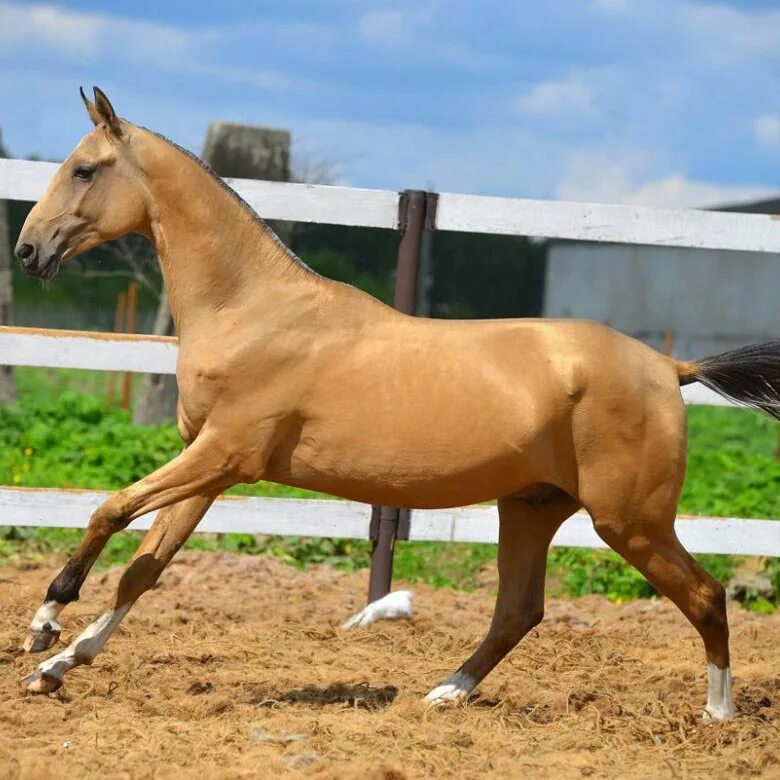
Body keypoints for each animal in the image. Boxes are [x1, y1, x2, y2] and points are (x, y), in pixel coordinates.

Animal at [13, 87, 780, 720]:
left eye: (85, 170)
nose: (26, 251)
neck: (252, 310)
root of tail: (669, 367)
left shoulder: (226, 453)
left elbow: (109, 508)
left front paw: (46, 621)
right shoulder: (211, 466)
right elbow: (145, 568)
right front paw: (57, 667)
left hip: (631, 521)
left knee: (705, 597)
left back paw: (718, 716)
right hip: (531, 508)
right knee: (518, 611)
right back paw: (445, 693)